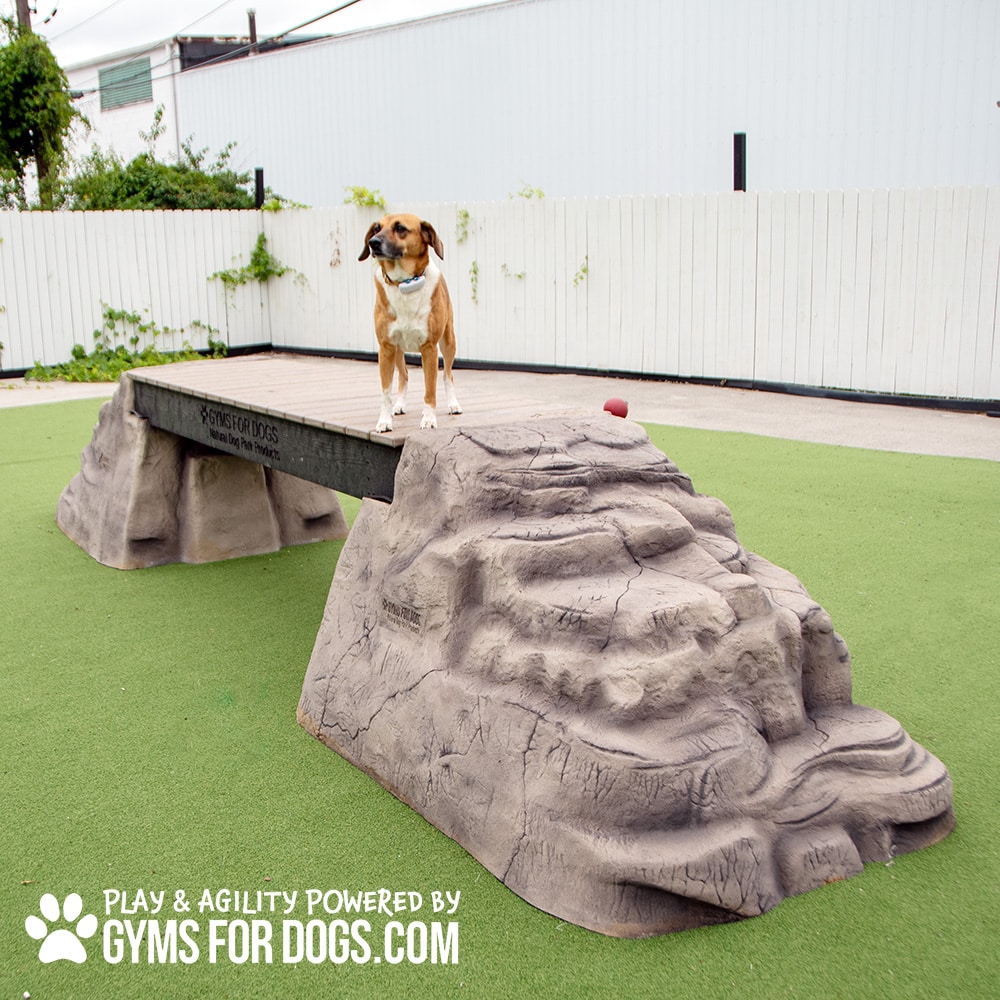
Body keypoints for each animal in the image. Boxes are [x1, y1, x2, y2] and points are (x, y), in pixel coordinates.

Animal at [359, 213, 461, 433]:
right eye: (376, 229)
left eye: (400, 228)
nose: (373, 243)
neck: (404, 283)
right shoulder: (386, 348)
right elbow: (385, 391)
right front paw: (384, 420)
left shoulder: (429, 348)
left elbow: (430, 389)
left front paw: (429, 418)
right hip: (398, 350)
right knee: (404, 375)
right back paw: (399, 405)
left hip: (448, 342)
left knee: (448, 375)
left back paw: (453, 404)